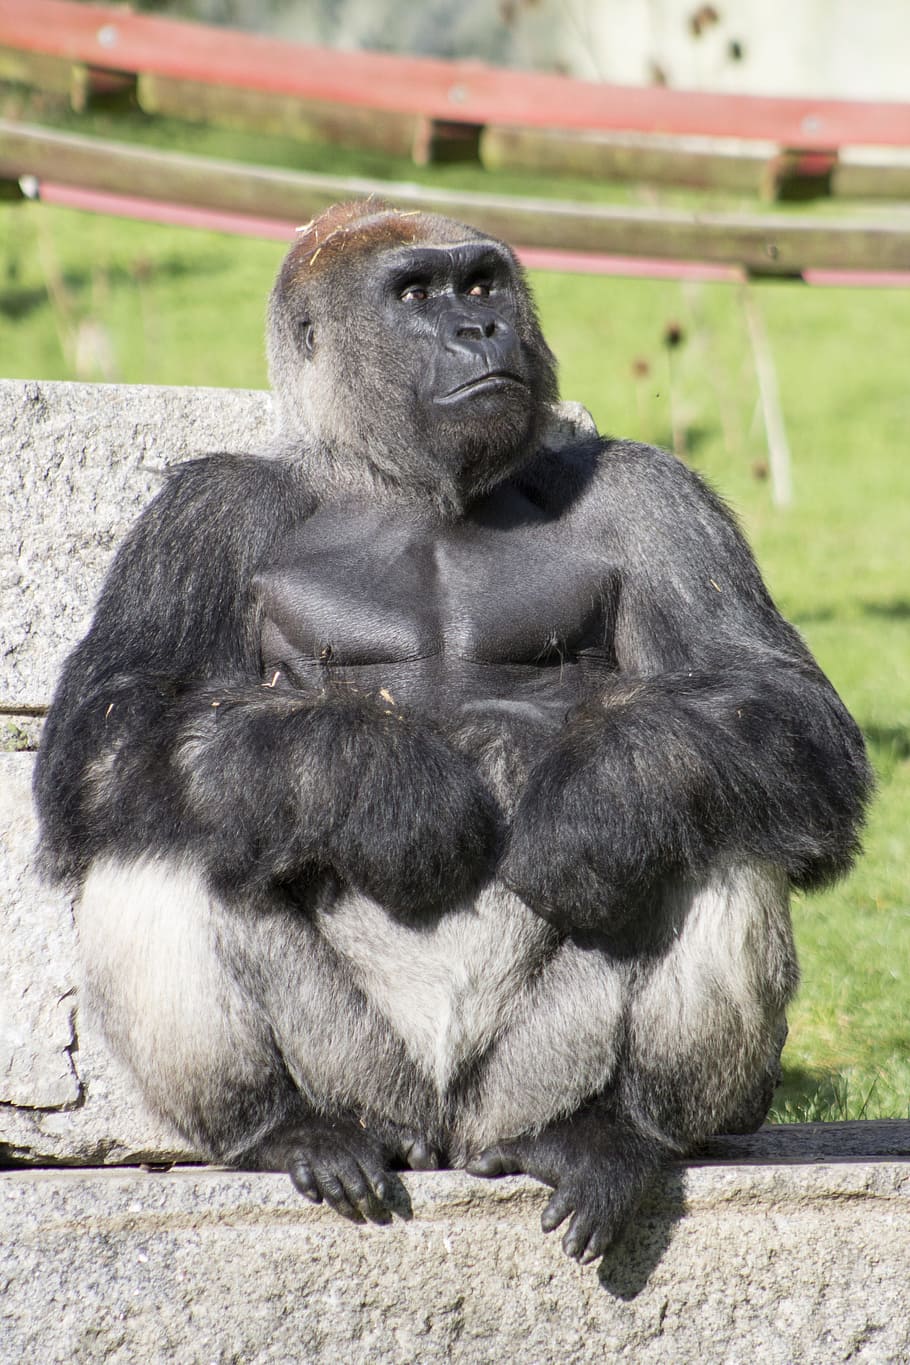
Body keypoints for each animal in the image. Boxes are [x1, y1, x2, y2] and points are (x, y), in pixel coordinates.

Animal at [34, 199, 871, 1264]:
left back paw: (617, 1131)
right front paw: (381, 784)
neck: (396, 476)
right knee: (162, 821)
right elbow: (114, 722)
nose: (482, 329)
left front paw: (591, 813)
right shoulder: (201, 510)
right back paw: (278, 1129)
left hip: (522, 1084)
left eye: (481, 282)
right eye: (415, 294)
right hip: (365, 1078)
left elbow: (776, 706)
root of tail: (447, 1138)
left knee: (717, 812)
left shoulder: (652, 493)